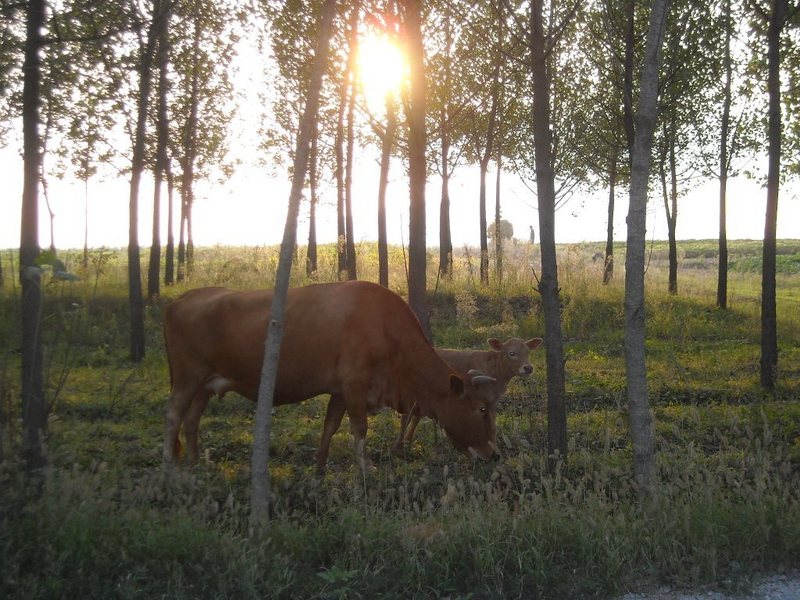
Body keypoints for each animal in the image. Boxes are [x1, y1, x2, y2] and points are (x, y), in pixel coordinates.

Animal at [163, 282, 500, 474]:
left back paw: (196, 462)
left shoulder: (340, 390)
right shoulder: (355, 383)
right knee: (174, 414)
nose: (494, 455)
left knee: (192, 418)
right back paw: (172, 463)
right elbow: (359, 428)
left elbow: (330, 426)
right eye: (482, 409)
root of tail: (182, 298)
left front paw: (320, 465)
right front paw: (366, 467)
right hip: (186, 378)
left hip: (206, 383)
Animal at [396, 338, 544, 450]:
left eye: (528, 352)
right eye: (511, 353)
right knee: (406, 416)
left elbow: (492, 426)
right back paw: (399, 447)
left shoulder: (492, 401)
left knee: (415, 416)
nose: (528, 368)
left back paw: (406, 443)